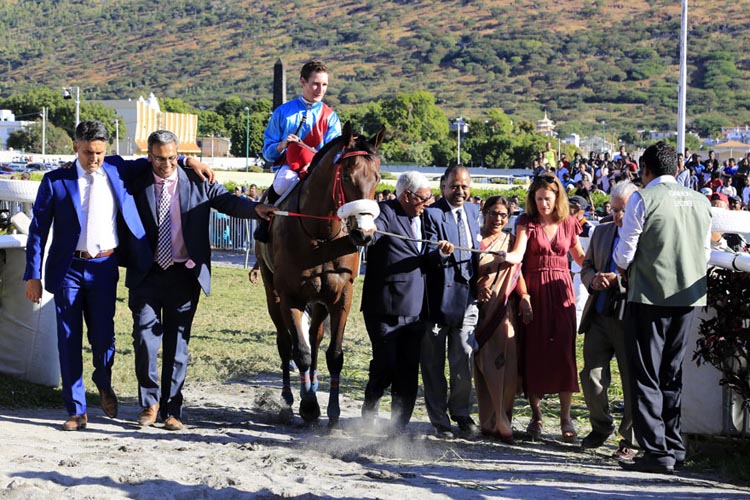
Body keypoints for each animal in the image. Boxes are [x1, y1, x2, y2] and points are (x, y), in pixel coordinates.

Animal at [258, 122, 388, 426]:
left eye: (377, 177)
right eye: (348, 176)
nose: (365, 234)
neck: (320, 236)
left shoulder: (342, 294)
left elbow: (333, 354)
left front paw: (332, 412)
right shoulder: (289, 295)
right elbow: (301, 352)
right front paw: (307, 405)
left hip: (318, 300)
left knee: (315, 337)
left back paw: (313, 386)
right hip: (272, 294)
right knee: (286, 343)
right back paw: (289, 400)